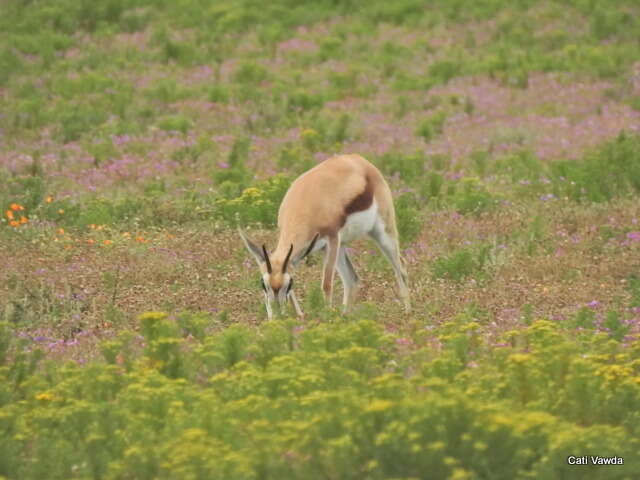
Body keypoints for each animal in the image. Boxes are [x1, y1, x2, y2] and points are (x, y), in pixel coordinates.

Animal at [239, 154, 410, 318]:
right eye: (263, 284)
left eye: (289, 284)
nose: (276, 314)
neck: (305, 205)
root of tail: (360, 161)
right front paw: (300, 316)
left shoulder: (332, 239)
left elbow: (326, 284)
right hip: (341, 247)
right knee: (352, 279)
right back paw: (344, 316)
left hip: (381, 233)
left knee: (401, 268)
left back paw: (408, 312)